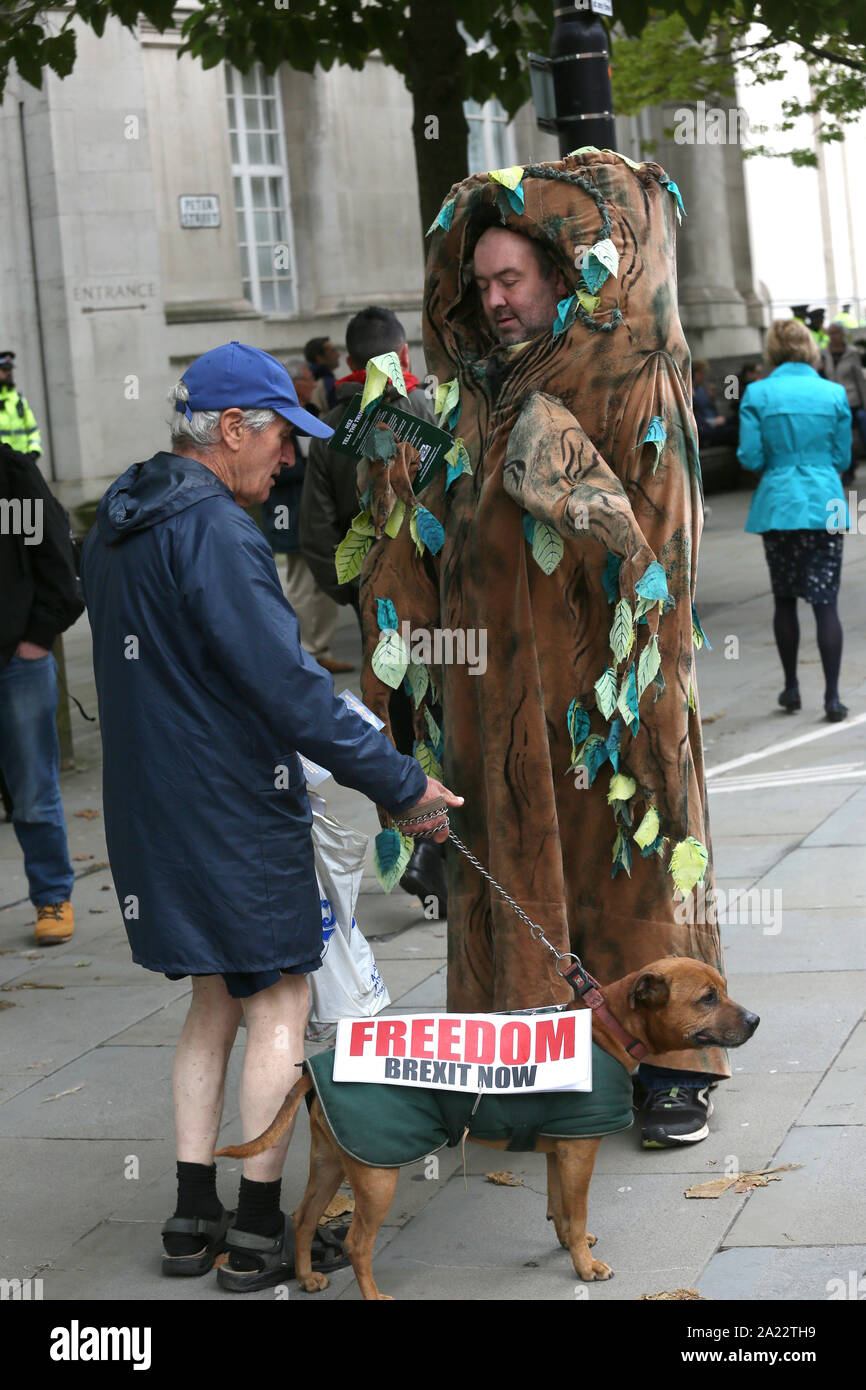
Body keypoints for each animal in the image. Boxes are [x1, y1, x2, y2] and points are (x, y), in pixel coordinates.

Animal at [216, 961, 756, 1295]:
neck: (607, 1029)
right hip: (376, 1176)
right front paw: (584, 1267)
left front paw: (569, 1245)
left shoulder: (560, 1151)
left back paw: (307, 1277)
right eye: (707, 998)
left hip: (333, 1162)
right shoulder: (580, 1152)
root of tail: (312, 1069)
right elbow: (576, 1210)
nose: (753, 1018)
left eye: (724, 991)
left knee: (305, 1219)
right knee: (356, 1245)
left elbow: (561, 1211)